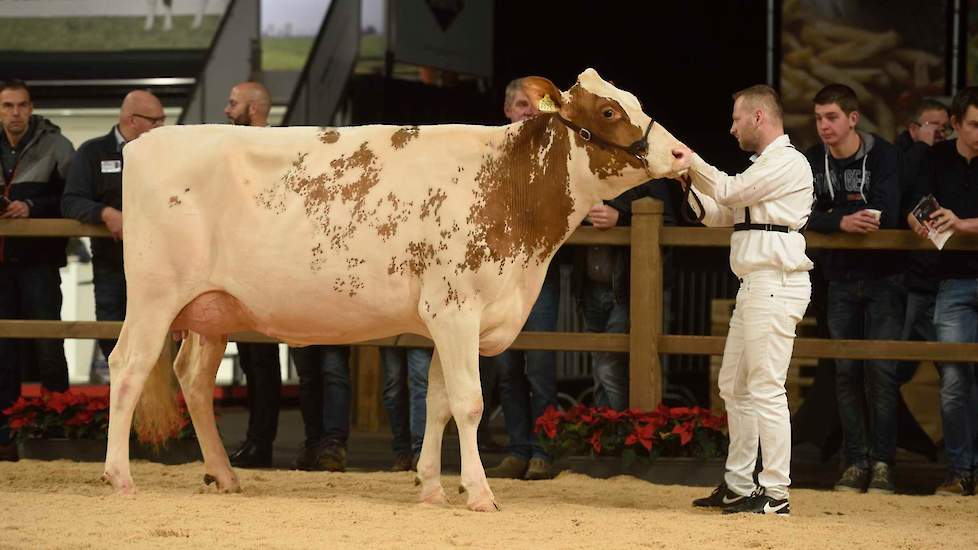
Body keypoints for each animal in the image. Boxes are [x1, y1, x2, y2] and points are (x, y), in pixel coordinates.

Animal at [99, 69, 680, 512]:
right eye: (608, 112)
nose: (678, 154)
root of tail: (148, 143)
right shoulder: (455, 307)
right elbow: (469, 402)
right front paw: (479, 493)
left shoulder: (448, 317)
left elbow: (438, 403)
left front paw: (431, 488)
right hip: (154, 295)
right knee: (127, 366)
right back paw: (119, 477)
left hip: (210, 310)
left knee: (193, 379)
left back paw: (223, 475)